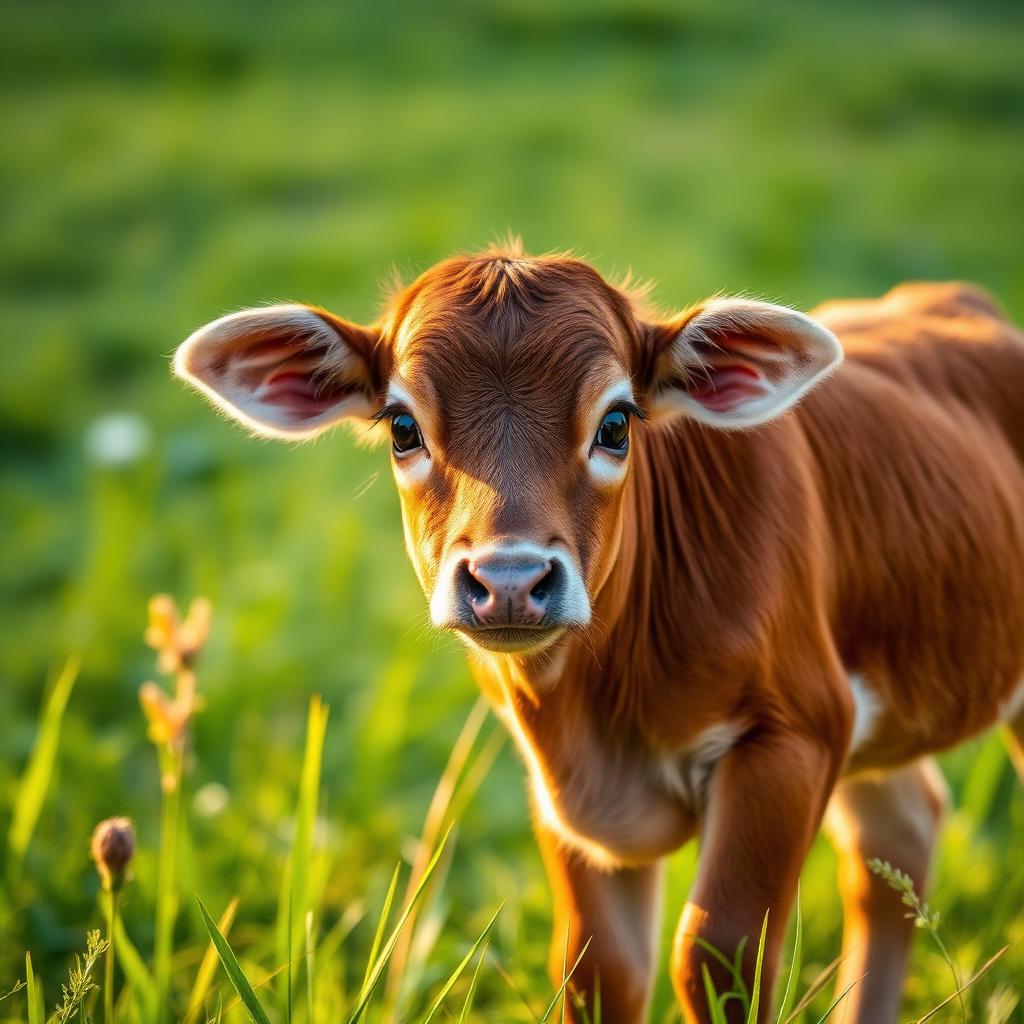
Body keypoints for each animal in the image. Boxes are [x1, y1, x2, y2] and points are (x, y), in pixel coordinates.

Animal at [174, 241, 1024, 1023]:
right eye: (402, 426)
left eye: (616, 422)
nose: (509, 579)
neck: (605, 713)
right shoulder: (556, 785)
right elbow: (597, 969)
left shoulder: (795, 732)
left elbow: (719, 954)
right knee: (895, 842)